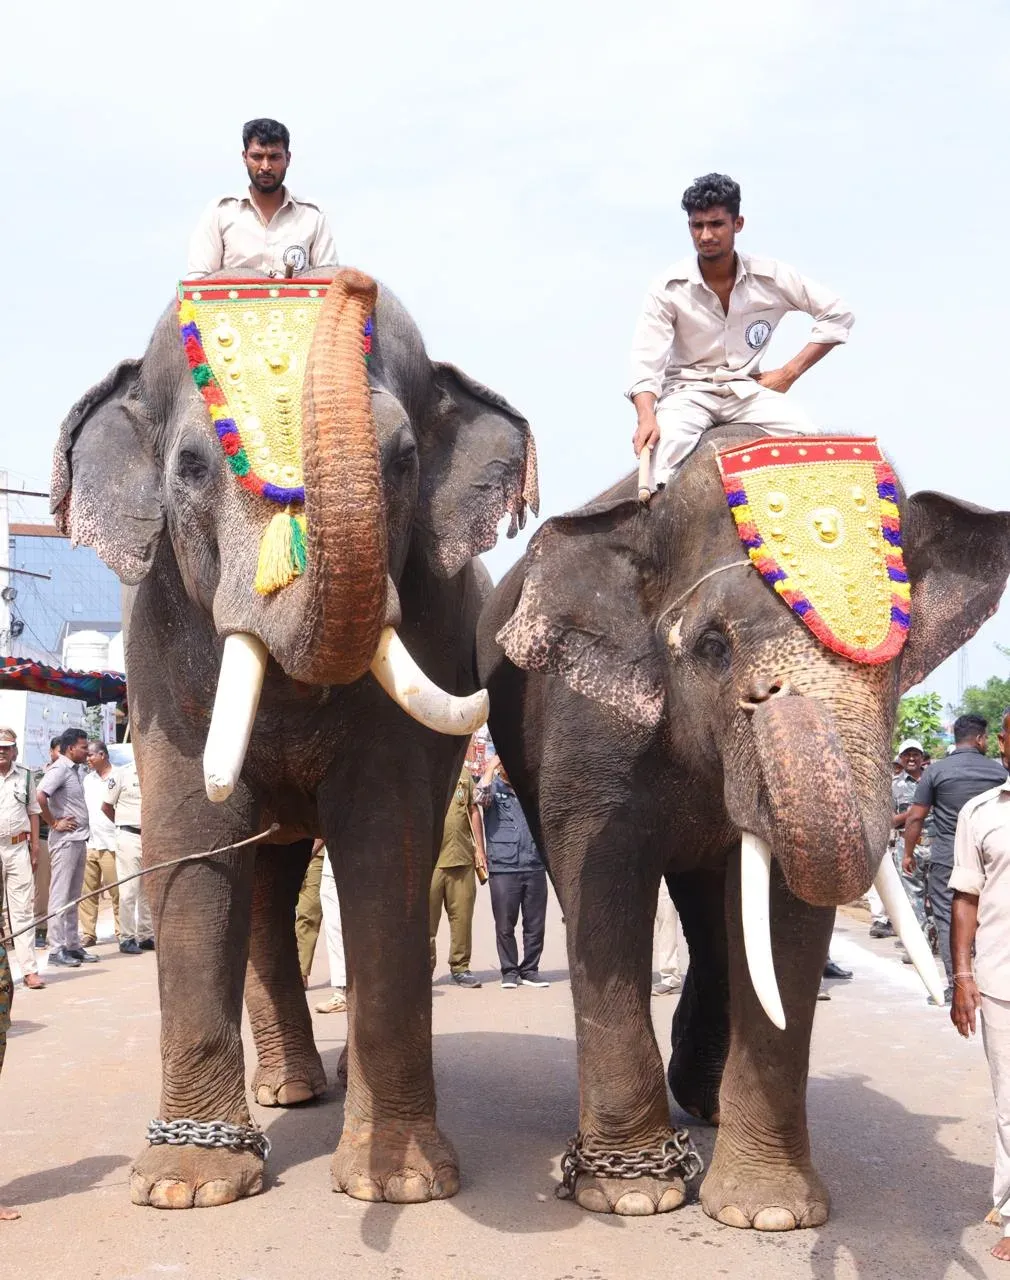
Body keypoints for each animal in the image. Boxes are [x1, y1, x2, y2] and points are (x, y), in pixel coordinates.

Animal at [51, 267, 537, 1208]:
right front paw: (189, 1187)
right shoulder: (156, 640)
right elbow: (192, 836)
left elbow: (385, 839)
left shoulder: (428, 619)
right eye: (192, 467)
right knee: (267, 886)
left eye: (404, 461)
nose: (350, 278)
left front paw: (399, 1184)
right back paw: (289, 1091)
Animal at [476, 424, 1010, 1227]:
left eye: (897, 654)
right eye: (712, 647)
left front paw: (769, 1213)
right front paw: (634, 1194)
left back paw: (707, 1105)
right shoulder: (587, 729)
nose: (770, 697)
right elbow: (604, 895)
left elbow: (782, 919)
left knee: (714, 920)